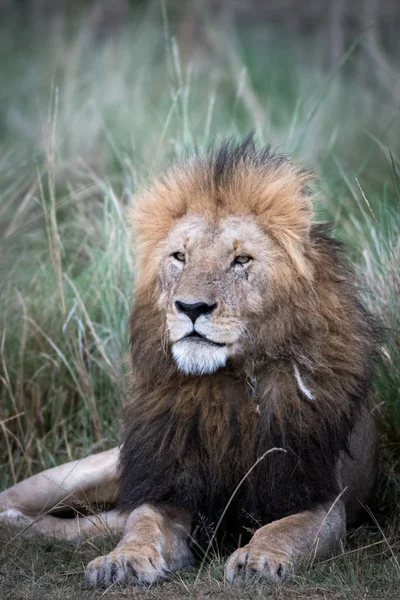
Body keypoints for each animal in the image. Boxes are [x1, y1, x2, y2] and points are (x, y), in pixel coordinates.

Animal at [0, 137, 382, 584]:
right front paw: (121, 560)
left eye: (241, 260)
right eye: (180, 257)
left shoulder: (318, 495)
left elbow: (284, 528)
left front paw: (259, 558)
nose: (192, 307)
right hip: (89, 470)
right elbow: (143, 522)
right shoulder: (170, 486)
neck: (230, 382)